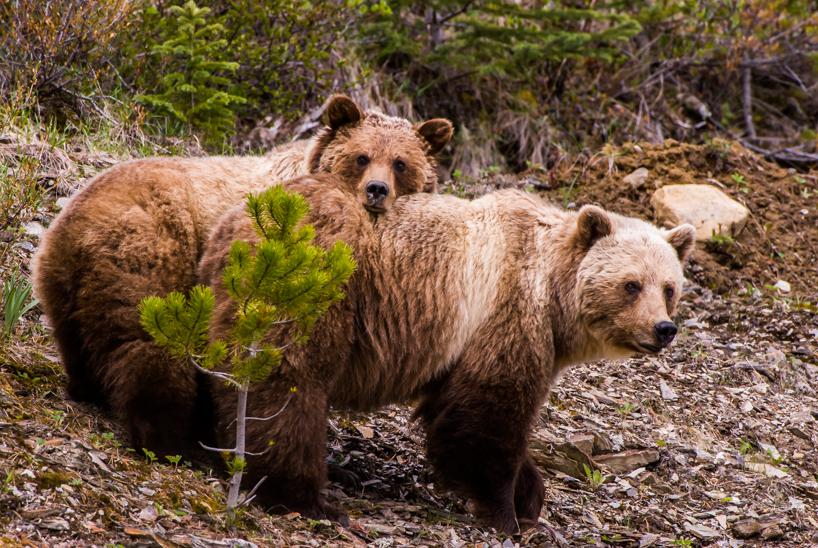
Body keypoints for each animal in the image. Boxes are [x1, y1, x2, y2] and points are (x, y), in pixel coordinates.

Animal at [32, 98, 453, 459]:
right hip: (155, 246)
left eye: (400, 163)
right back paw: (172, 439)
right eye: (362, 156)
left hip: (63, 291)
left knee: (82, 341)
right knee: (151, 342)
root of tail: (72, 229)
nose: (376, 190)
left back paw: (87, 387)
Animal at [199, 173, 697, 533]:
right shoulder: (505, 311)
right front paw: (508, 513)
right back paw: (305, 496)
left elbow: (457, 412)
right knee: (290, 381)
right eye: (631, 284)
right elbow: (488, 416)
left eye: (669, 287)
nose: (663, 329)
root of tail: (242, 221)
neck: (555, 300)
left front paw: (530, 494)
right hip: (315, 288)